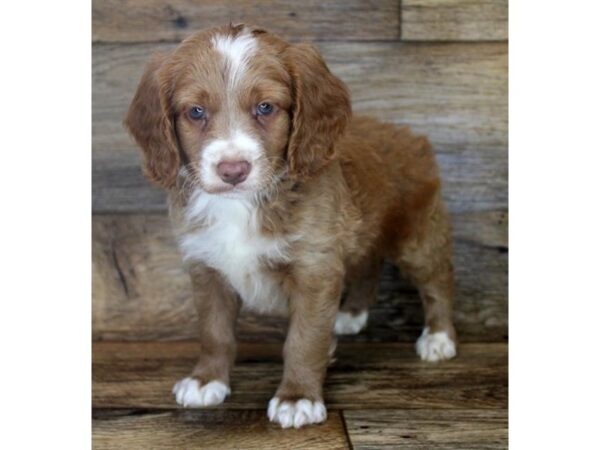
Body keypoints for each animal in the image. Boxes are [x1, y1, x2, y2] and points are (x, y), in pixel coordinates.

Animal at [125, 23, 454, 428]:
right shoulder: (206, 267)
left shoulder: (314, 268)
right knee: (368, 265)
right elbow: (214, 331)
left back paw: (439, 337)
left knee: (438, 278)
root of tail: (407, 132)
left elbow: (304, 340)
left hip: (416, 236)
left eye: (266, 107)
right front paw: (207, 380)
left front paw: (297, 398)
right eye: (196, 112)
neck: (242, 205)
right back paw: (351, 314)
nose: (232, 170)